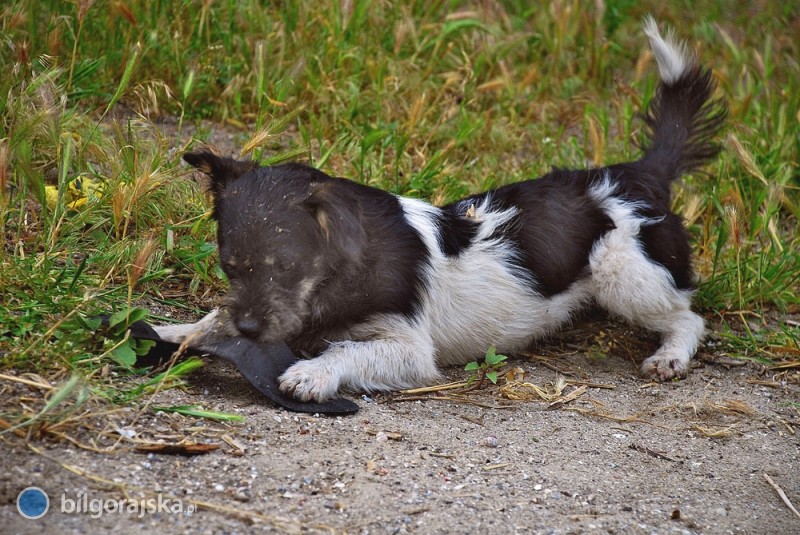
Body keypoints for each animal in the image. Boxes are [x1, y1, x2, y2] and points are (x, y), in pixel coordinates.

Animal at [155, 17, 724, 402]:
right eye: (229, 266)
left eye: (288, 267)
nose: (250, 330)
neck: (343, 272)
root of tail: (641, 173)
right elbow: (211, 316)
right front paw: (177, 332)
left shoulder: (410, 350)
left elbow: (346, 350)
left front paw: (312, 372)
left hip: (625, 275)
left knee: (689, 317)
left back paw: (669, 356)